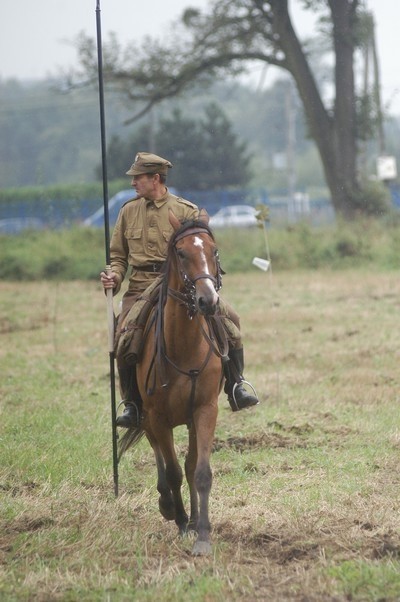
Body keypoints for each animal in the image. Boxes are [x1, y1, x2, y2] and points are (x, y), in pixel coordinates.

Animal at [118, 206, 228, 552]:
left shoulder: (205, 410)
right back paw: (168, 506)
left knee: (189, 465)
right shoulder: (157, 418)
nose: (207, 301)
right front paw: (180, 522)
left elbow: (199, 471)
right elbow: (174, 471)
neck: (185, 347)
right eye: (181, 253)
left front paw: (202, 532)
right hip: (146, 419)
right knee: (162, 461)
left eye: (213, 250)